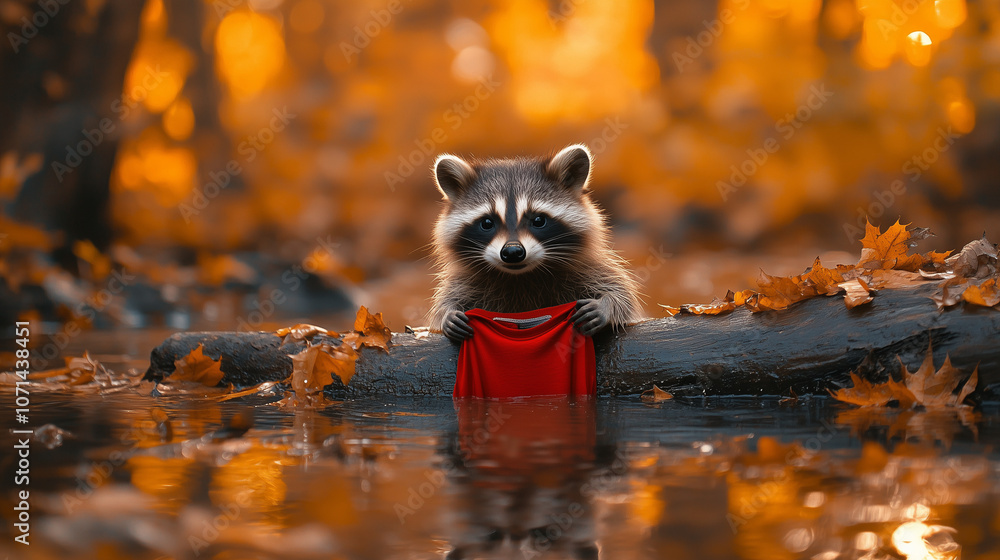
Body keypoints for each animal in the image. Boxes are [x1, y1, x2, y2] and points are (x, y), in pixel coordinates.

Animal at [428, 144, 643, 342]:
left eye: (538, 220)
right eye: (487, 223)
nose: (512, 252)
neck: (522, 277)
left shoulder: (588, 269)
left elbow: (621, 293)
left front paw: (607, 304)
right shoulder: (467, 282)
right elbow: (447, 302)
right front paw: (448, 313)